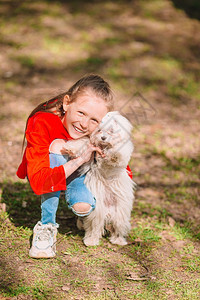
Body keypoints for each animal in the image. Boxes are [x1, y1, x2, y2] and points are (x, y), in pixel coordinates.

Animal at [65, 111, 135, 245]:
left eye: (111, 131)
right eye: (99, 130)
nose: (103, 138)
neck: (103, 147)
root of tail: (108, 212)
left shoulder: (123, 151)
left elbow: (118, 152)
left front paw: (113, 155)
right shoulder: (90, 148)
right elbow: (84, 142)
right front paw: (70, 148)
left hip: (120, 214)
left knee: (118, 228)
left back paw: (118, 240)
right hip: (97, 212)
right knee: (95, 227)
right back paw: (91, 240)